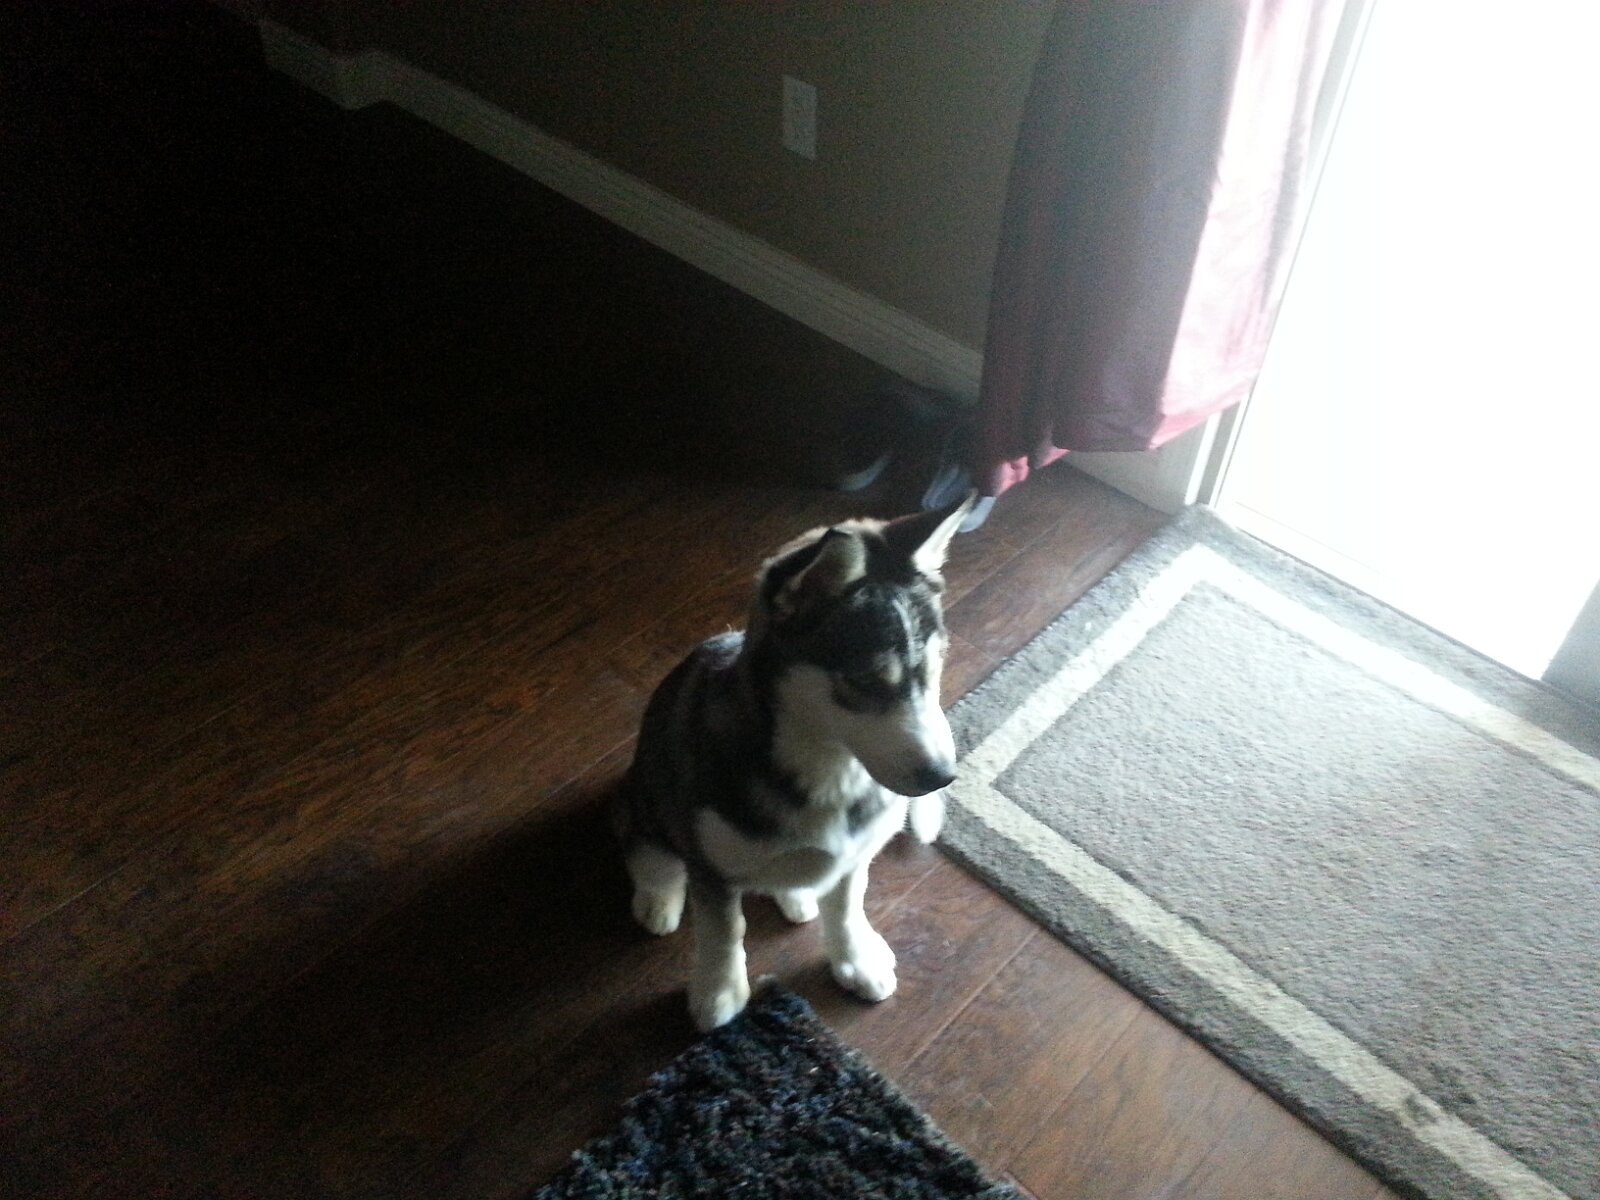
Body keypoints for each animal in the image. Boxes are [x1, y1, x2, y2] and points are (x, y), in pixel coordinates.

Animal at [614, 494, 972, 1031]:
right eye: (863, 681)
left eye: (934, 667)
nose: (941, 777)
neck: (830, 766)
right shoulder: (712, 867)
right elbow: (723, 929)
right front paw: (720, 992)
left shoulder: (854, 855)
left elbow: (846, 908)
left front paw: (855, 960)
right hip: (644, 802)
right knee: (652, 857)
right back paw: (658, 900)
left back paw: (797, 896)